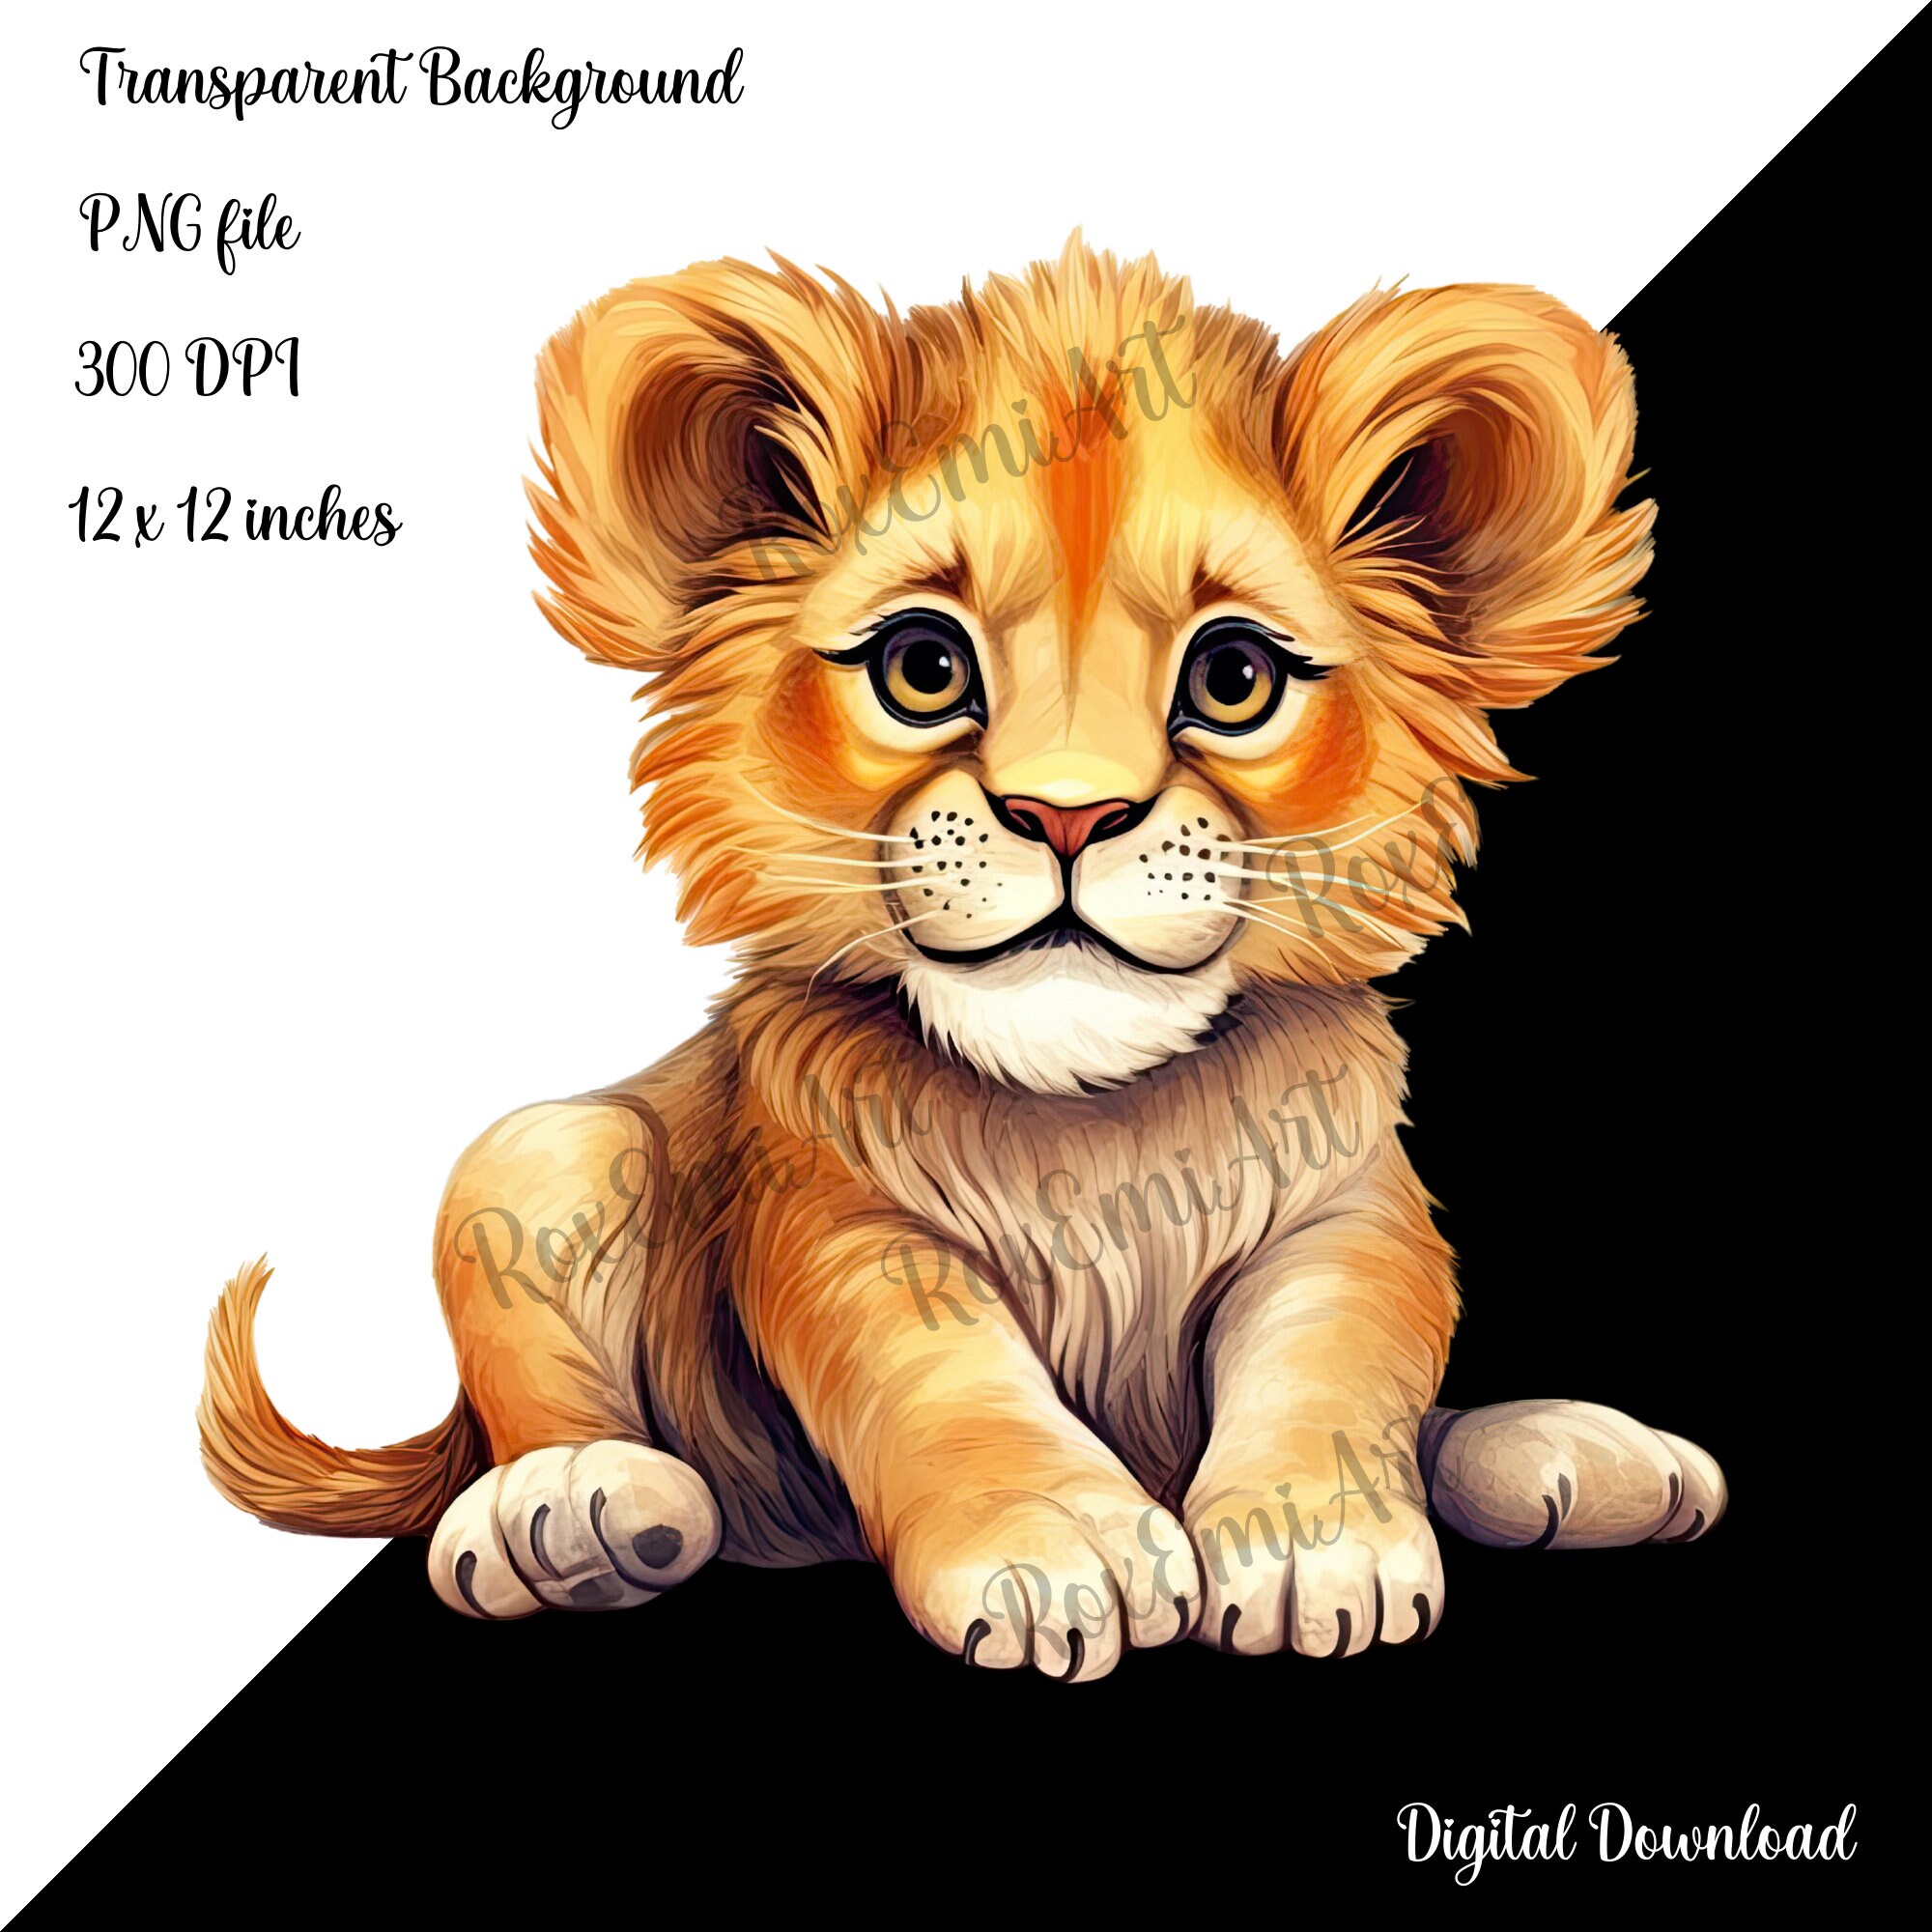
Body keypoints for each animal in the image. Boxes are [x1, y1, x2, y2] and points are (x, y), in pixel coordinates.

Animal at [200, 235, 1724, 1676]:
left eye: (1233, 679)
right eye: (923, 667)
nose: (1068, 813)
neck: (1091, 1115)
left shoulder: (1347, 1213)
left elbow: (1332, 1362)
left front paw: (1312, 1541)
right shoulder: (838, 1227)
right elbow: (944, 1376)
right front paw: (1057, 1551)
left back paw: (1589, 1455)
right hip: (544, 1155)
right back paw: (578, 1505)